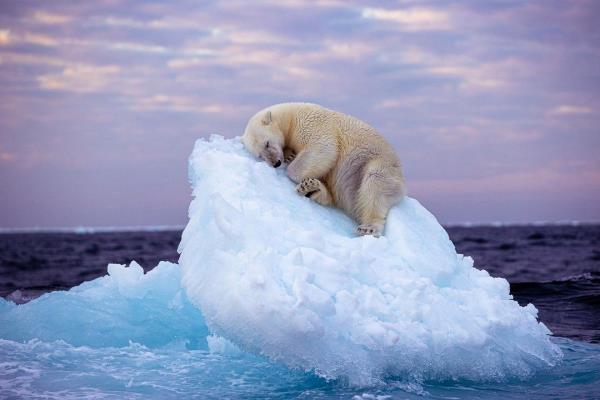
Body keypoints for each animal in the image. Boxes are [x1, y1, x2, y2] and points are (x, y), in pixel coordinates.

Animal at [241, 101, 406, 238]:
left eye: (267, 143)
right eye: (260, 155)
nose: (276, 163)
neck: (291, 116)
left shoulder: (311, 123)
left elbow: (323, 148)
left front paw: (291, 164)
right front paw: (289, 155)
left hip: (379, 163)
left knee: (375, 184)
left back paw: (369, 227)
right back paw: (311, 188)